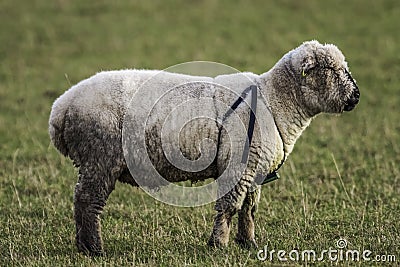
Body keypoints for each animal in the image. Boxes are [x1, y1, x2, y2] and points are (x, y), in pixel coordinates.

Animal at [49, 40, 360, 256]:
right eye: (331, 69)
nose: (356, 96)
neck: (274, 101)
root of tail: (61, 108)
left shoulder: (254, 169)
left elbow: (249, 209)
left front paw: (248, 243)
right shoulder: (238, 166)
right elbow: (229, 206)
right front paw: (218, 244)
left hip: (93, 160)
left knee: (81, 202)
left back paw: (83, 246)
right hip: (99, 156)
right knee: (88, 202)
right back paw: (94, 248)